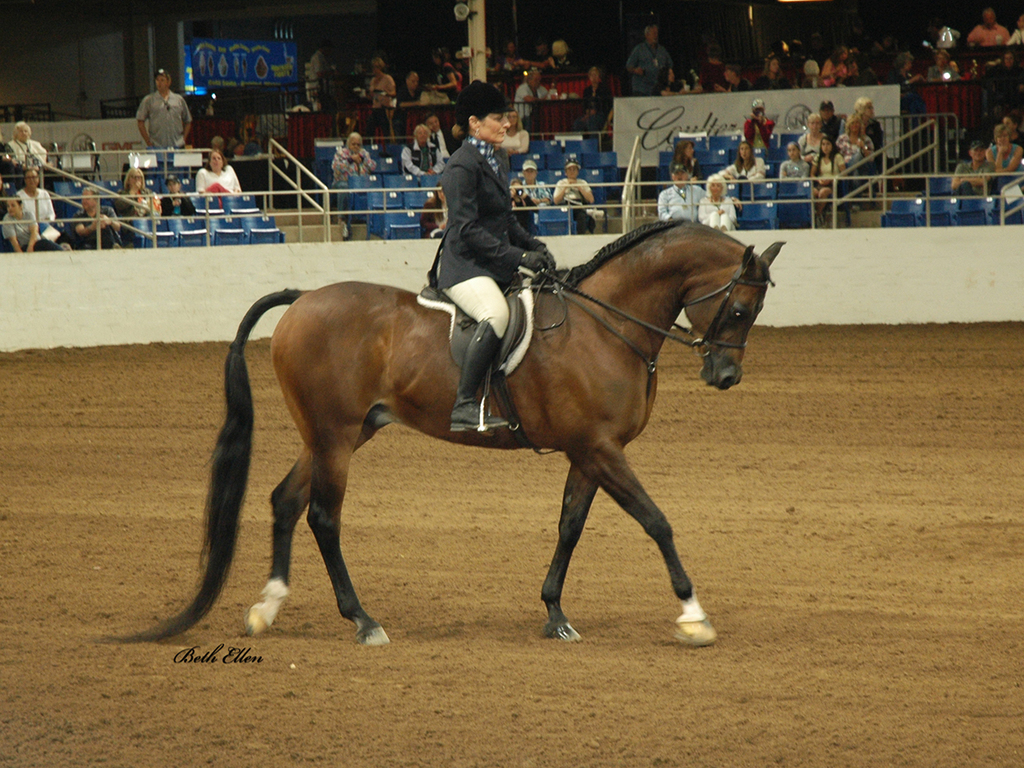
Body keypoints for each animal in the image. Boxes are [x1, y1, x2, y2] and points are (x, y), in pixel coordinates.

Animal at [124, 221, 781, 648]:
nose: (725, 376)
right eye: (739, 310)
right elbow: (656, 520)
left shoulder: (588, 450)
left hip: (341, 434)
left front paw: (555, 614)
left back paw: (268, 607)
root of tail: (304, 299)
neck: (605, 324)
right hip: (334, 437)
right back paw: (363, 621)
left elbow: (569, 527)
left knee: (285, 500)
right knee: (323, 517)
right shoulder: (599, 448)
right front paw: (693, 614)